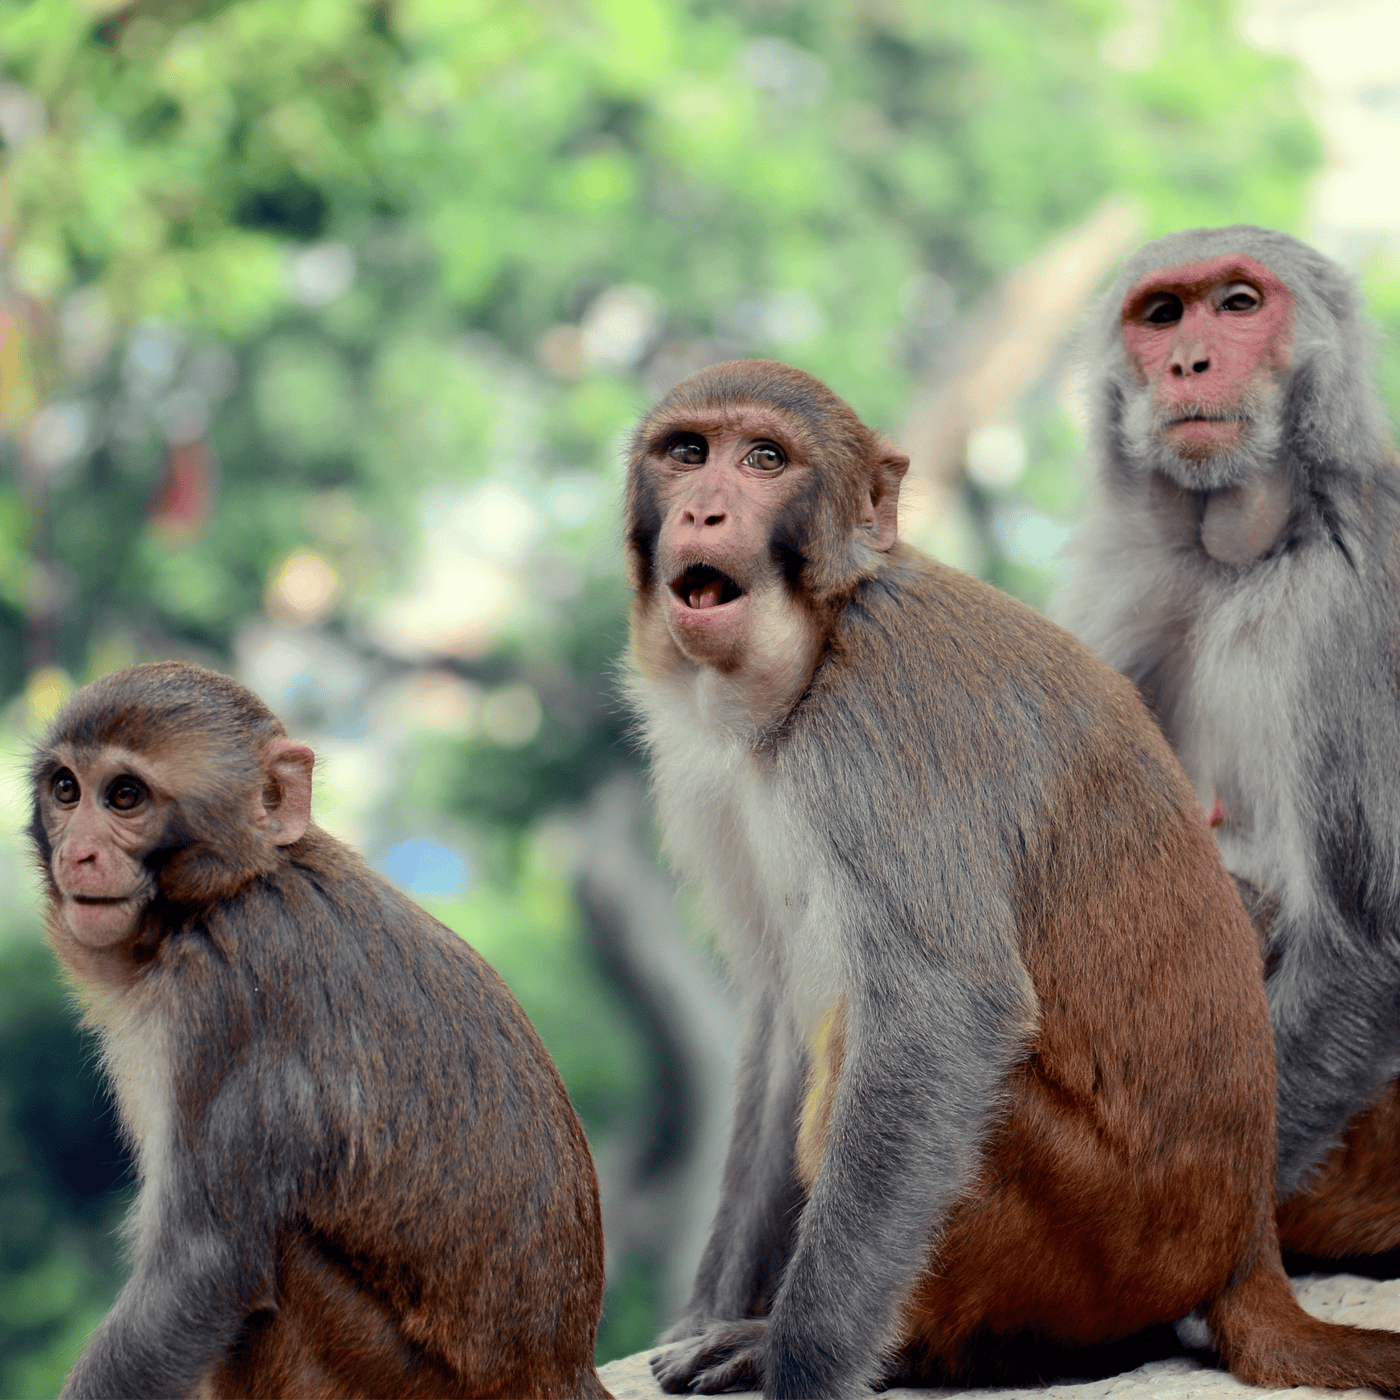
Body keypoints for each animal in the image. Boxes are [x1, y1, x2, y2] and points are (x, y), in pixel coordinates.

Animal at [29, 662, 610, 1400]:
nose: (78, 853)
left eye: (125, 796)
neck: (228, 889)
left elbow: (199, 1272)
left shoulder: (223, 998)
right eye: (66, 790)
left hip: (387, 1372)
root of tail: (561, 1371)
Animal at [622, 357, 1400, 1399]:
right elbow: (785, 1023)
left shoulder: (880, 723)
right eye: (687, 451)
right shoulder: (713, 781)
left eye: (764, 460)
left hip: (1100, 1230)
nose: (704, 509)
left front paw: (799, 1363)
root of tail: (1245, 1249)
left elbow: (941, 1015)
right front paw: (713, 1306)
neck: (815, 647)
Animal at [1053, 225, 1400, 1262]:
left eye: (1240, 305)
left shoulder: (1347, 609)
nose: (1189, 363)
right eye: (1164, 315)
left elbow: (1359, 943)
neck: (1252, 553)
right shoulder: (1131, 586)